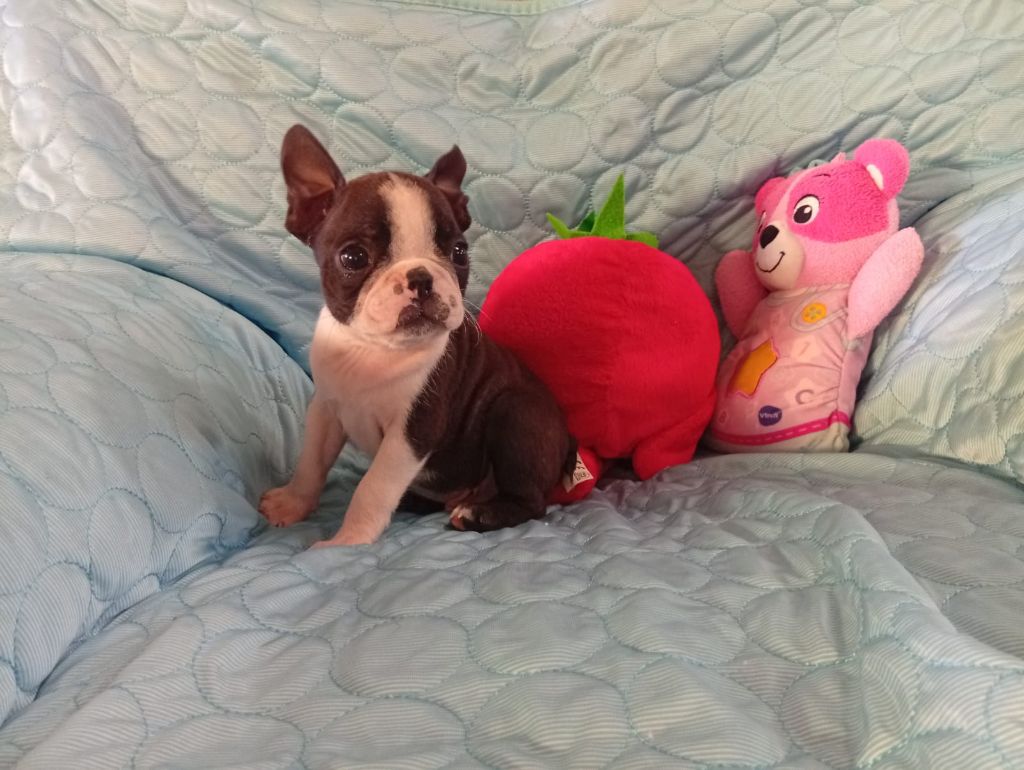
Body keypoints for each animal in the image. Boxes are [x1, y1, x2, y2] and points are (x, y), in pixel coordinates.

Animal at [259, 125, 575, 547]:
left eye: (459, 252)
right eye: (353, 257)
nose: (422, 277)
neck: (371, 348)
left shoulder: (412, 433)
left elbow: (373, 487)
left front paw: (347, 542)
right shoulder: (326, 410)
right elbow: (311, 463)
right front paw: (291, 505)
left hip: (516, 411)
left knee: (531, 501)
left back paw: (479, 514)